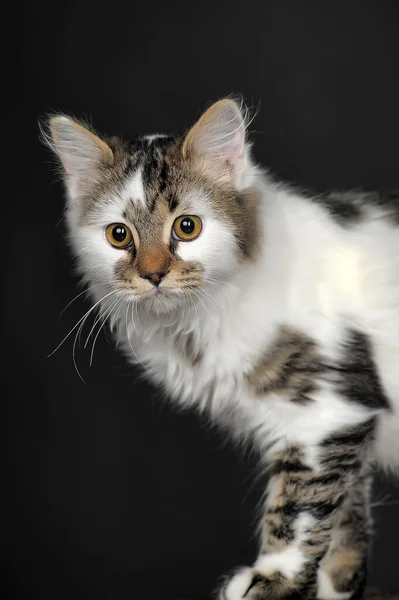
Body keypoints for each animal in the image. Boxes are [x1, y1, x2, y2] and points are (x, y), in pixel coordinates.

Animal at [44, 99, 399, 600]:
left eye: (187, 227)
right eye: (119, 235)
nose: (153, 274)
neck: (194, 323)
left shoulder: (328, 410)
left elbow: (300, 506)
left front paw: (272, 579)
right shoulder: (350, 420)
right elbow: (346, 511)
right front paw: (335, 585)